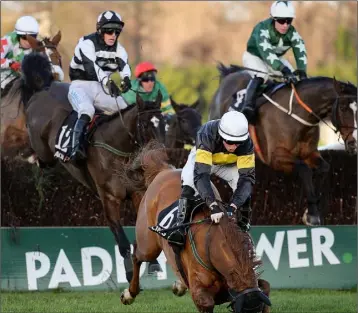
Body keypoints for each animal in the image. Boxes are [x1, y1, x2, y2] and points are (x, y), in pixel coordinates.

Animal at [15, 52, 166, 282]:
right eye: (145, 125)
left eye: (164, 122)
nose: (159, 154)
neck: (117, 150)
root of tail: (43, 89)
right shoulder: (108, 199)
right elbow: (121, 239)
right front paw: (129, 271)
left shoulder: (138, 193)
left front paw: (154, 263)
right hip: (45, 151)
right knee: (42, 159)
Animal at [119, 142, 270, 312]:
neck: (213, 245)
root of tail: (164, 170)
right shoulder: (200, 294)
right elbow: (206, 302)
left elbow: (265, 286)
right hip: (148, 244)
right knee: (137, 255)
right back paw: (130, 293)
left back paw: (179, 285)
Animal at [208, 63, 356, 225]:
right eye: (343, 107)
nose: (353, 144)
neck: (297, 115)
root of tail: (228, 75)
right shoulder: (276, 157)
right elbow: (304, 169)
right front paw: (312, 214)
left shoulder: (310, 153)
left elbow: (324, 168)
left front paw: (312, 209)